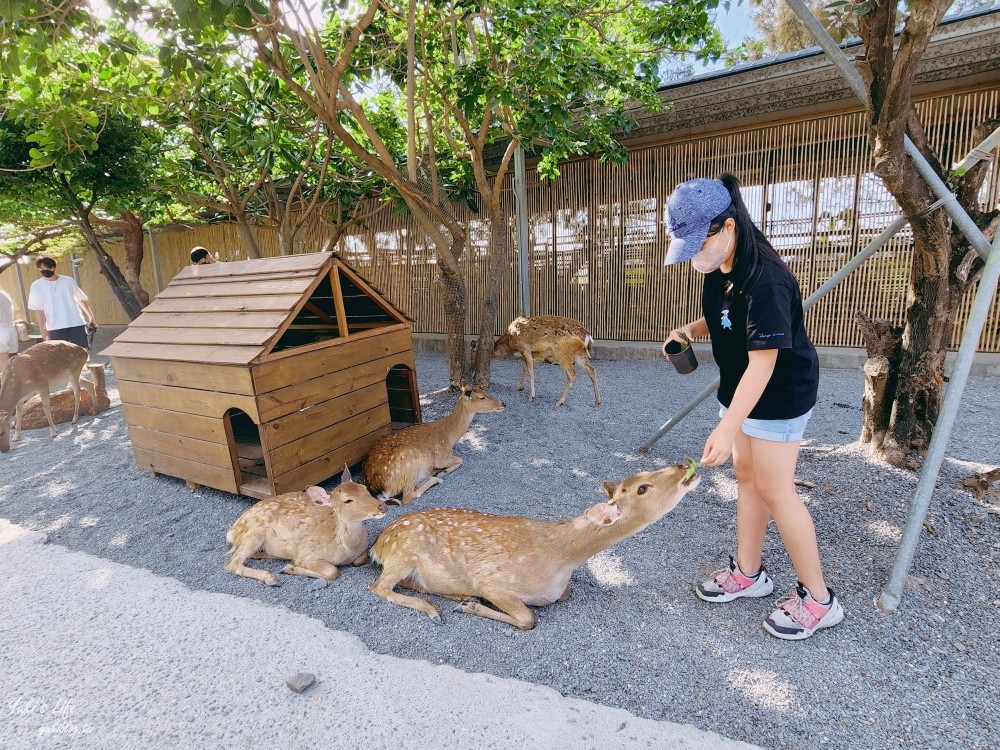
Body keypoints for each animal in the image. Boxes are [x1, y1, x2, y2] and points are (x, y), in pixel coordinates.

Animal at [225, 468, 388, 592]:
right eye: (348, 500)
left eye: (364, 489)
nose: (383, 506)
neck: (347, 549)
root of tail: (231, 532)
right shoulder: (308, 555)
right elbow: (332, 571)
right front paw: (290, 568)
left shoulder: (363, 550)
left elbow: (360, 560)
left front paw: (289, 567)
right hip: (255, 531)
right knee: (232, 563)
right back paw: (271, 577)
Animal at [362, 378, 508, 508]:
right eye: (482, 397)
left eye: (487, 392)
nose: (503, 404)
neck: (449, 437)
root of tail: (376, 487)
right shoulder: (441, 457)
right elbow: (461, 460)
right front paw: (444, 471)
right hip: (409, 458)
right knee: (407, 496)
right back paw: (437, 478)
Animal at [370, 462, 704, 632]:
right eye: (642, 488)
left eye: (643, 476)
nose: (684, 466)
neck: (559, 561)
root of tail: (378, 544)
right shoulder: (493, 581)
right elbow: (529, 619)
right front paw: (472, 607)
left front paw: (469, 603)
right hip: (403, 552)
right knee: (380, 587)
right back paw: (437, 610)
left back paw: (458, 596)